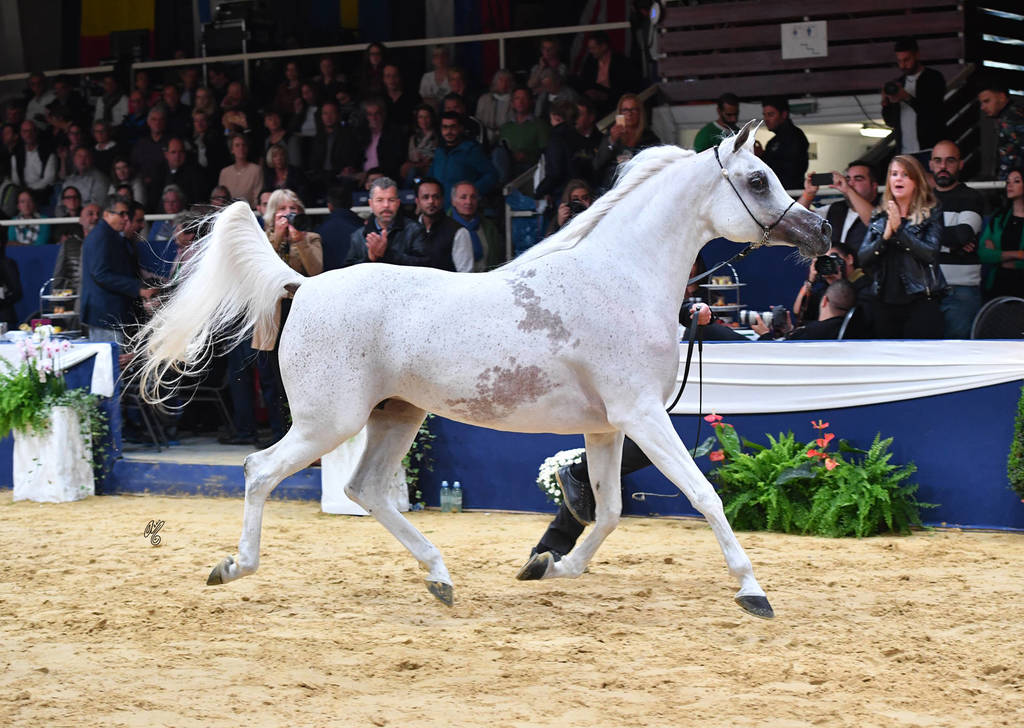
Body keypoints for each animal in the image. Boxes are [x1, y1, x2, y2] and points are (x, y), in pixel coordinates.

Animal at [136, 120, 830, 619]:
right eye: (758, 179)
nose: (821, 232)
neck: (619, 278)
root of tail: (302, 285)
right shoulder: (643, 416)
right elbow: (704, 494)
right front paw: (753, 592)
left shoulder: (608, 426)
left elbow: (606, 510)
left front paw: (551, 567)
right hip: (327, 422)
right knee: (260, 471)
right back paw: (232, 568)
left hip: (396, 416)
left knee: (366, 490)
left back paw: (441, 579)